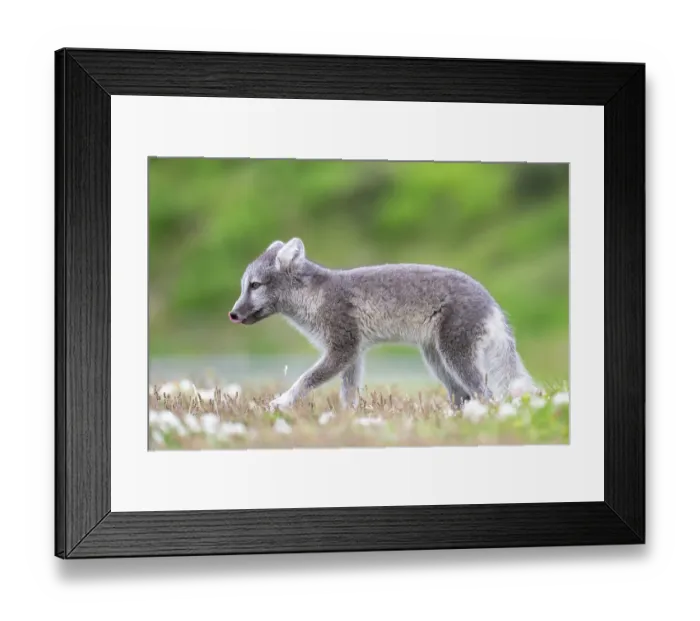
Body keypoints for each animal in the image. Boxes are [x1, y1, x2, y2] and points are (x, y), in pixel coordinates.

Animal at [229, 238, 536, 412]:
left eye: (255, 286)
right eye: (243, 286)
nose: (232, 314)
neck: (314, 296)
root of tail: (492, 302)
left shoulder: (342, 348)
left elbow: (304, 379)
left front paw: (280, 402)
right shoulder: (352, 354)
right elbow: (349, 393)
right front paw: (347, 420)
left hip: (455, 356)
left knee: (486, 394)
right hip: (437, 360)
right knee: (463, 395)